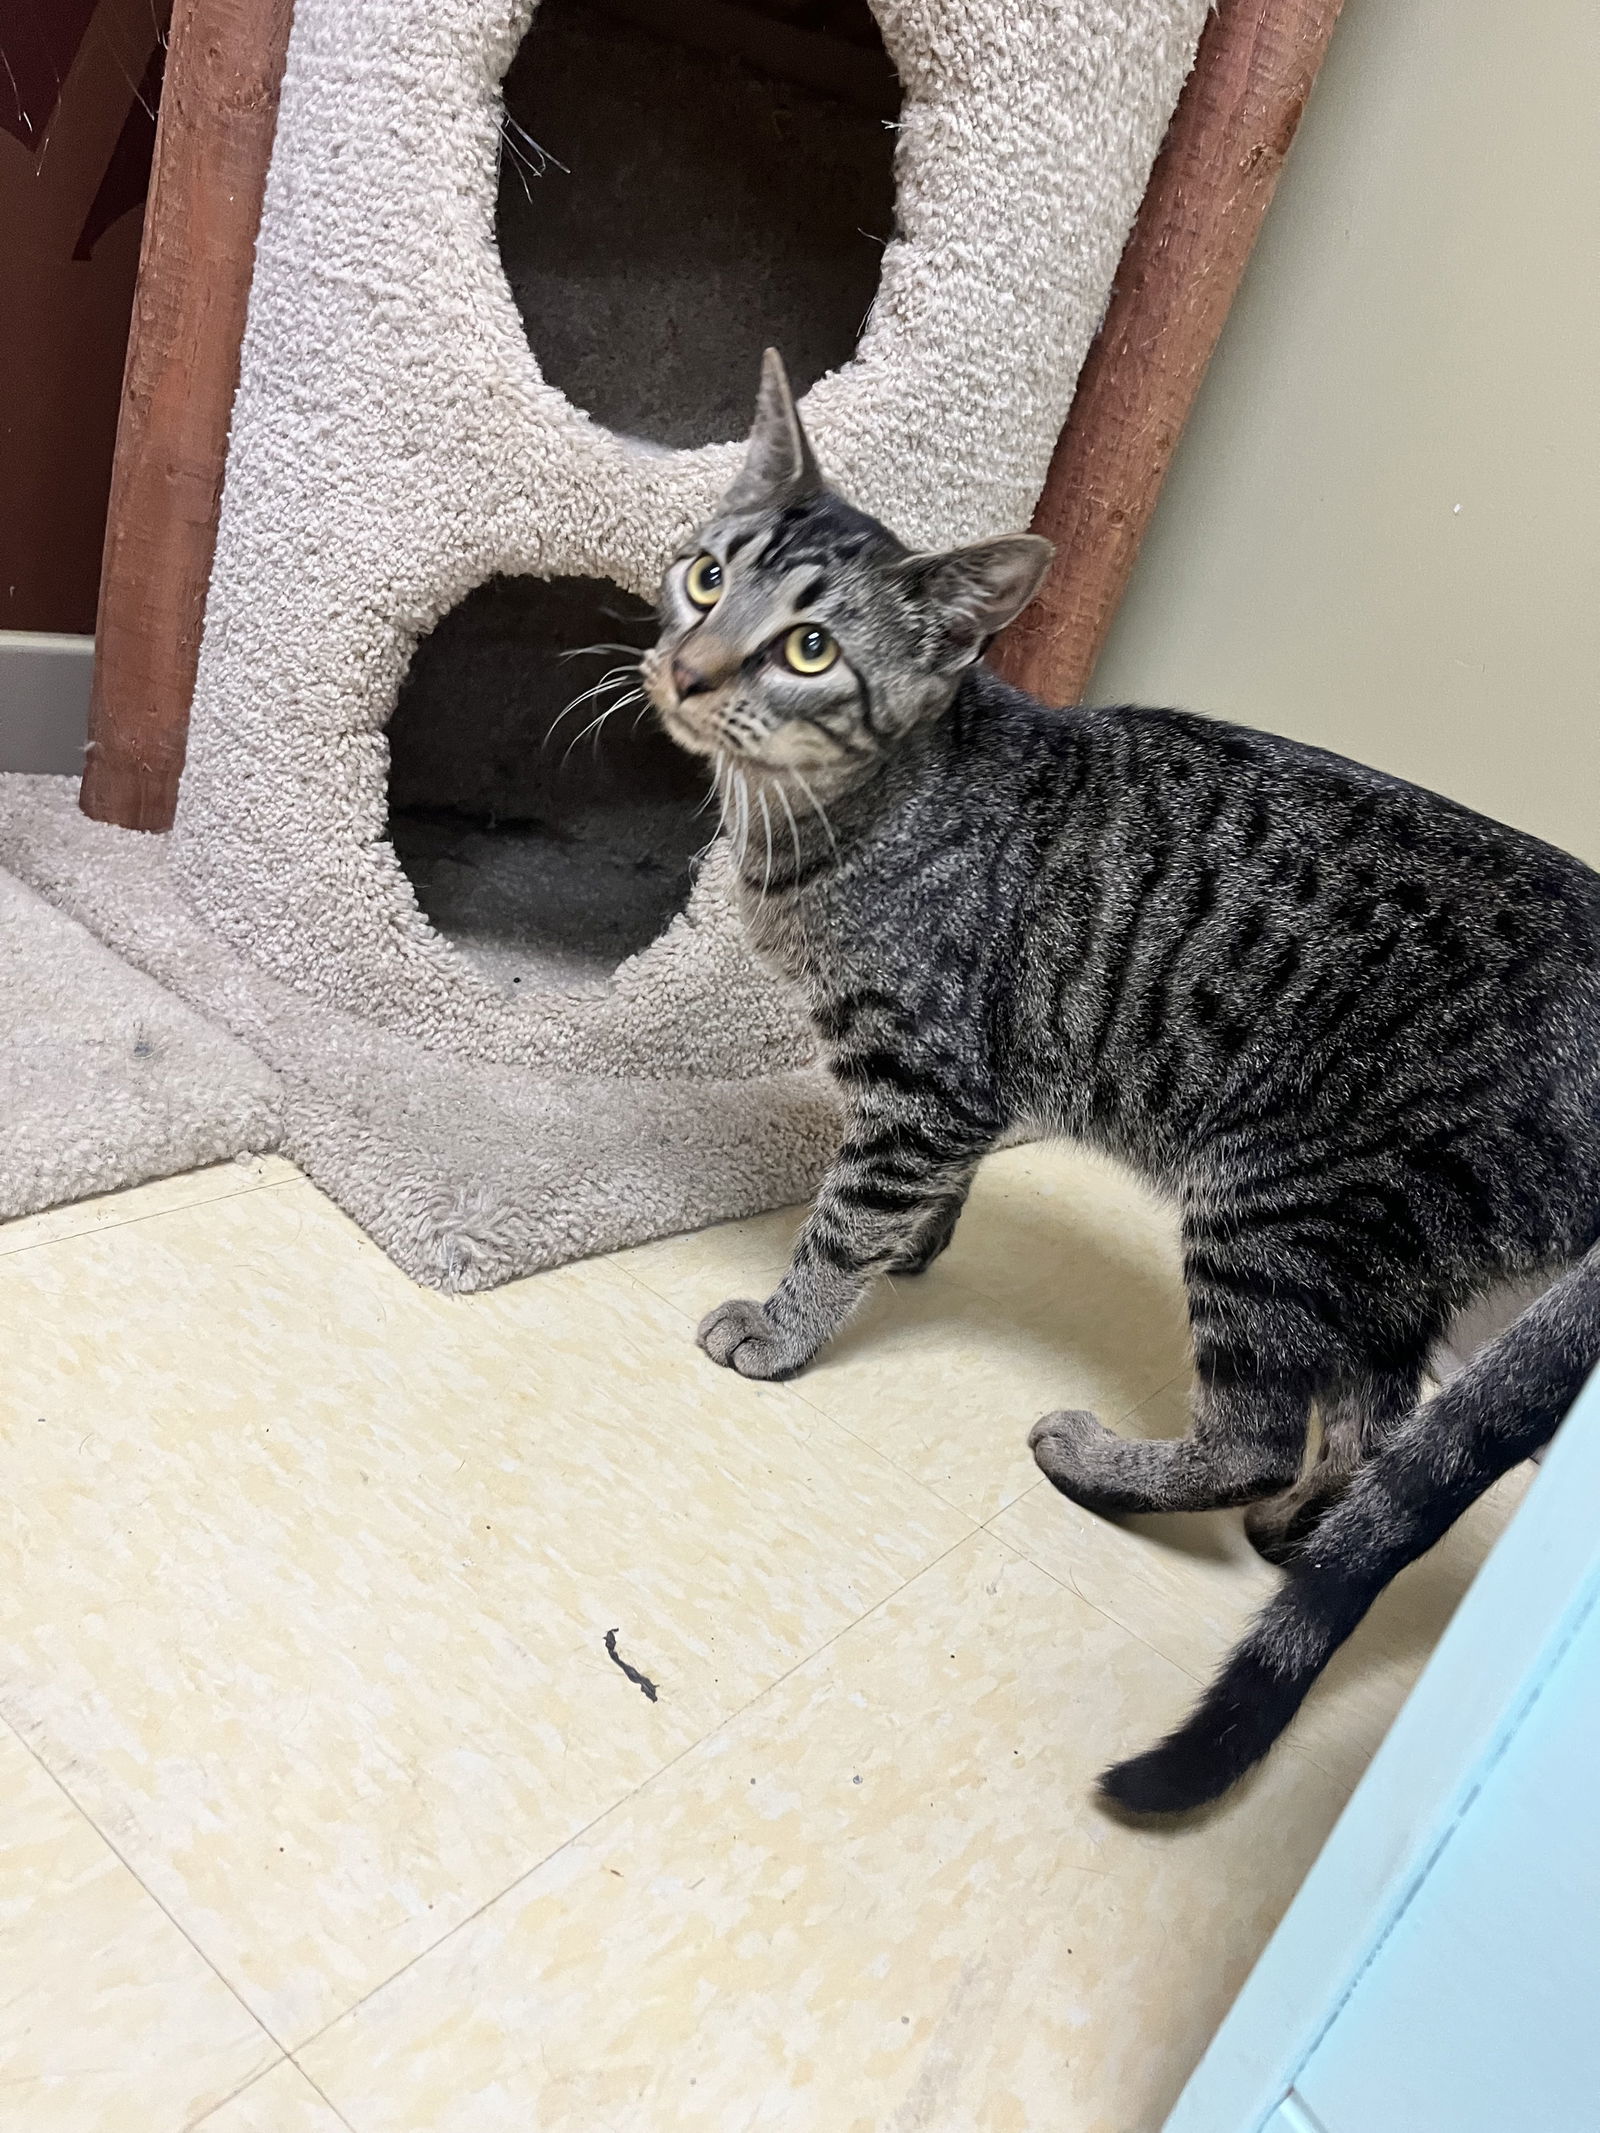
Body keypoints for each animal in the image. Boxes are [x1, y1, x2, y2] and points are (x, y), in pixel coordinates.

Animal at [644, 354, 1600, 1817]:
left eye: (810, 649)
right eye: (704, 579)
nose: (687, 668)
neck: (830, 823)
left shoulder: (922, 1083)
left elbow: (843, 1221)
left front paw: (786, 1322)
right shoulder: (955, 1108)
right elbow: (920, 1204)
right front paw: (917, 1254)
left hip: (1272, 1203)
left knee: (1264, 1425)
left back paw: (1109, 1465)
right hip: (1382, 1254)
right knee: (1378, 1422)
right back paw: (1305, 1528)